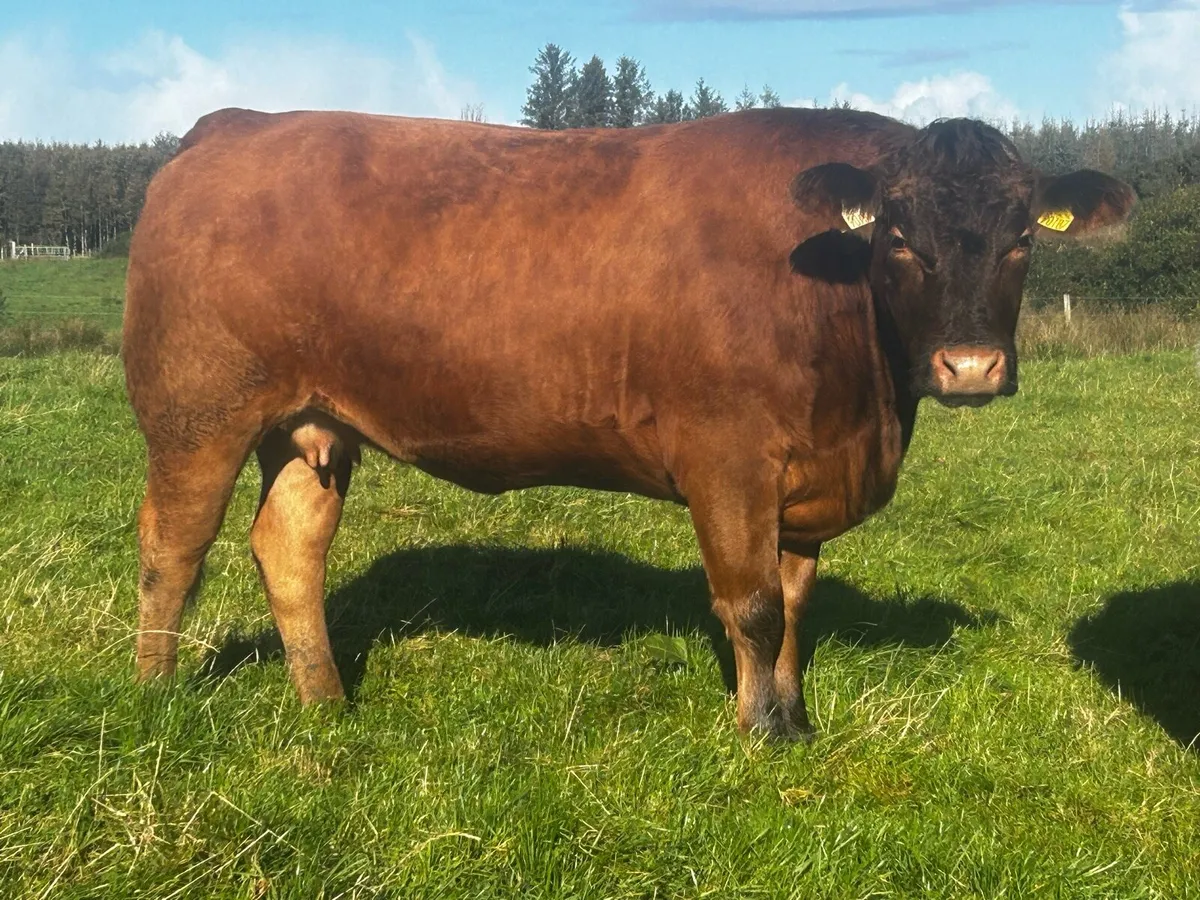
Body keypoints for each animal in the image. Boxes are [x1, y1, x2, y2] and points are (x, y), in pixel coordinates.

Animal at [123, 107, 1134, 741]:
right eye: (898, 236)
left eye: (1023, 239)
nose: (970, 366)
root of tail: (237, 125)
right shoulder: (728, 458)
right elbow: (752, 606)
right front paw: (761, 733)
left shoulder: (805, 477)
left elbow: (794, 606)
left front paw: (794, 714)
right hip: (197, 411)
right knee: (173, 546)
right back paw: (154, 697)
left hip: (309, 425)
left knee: (289, 545)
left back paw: (327, 703)